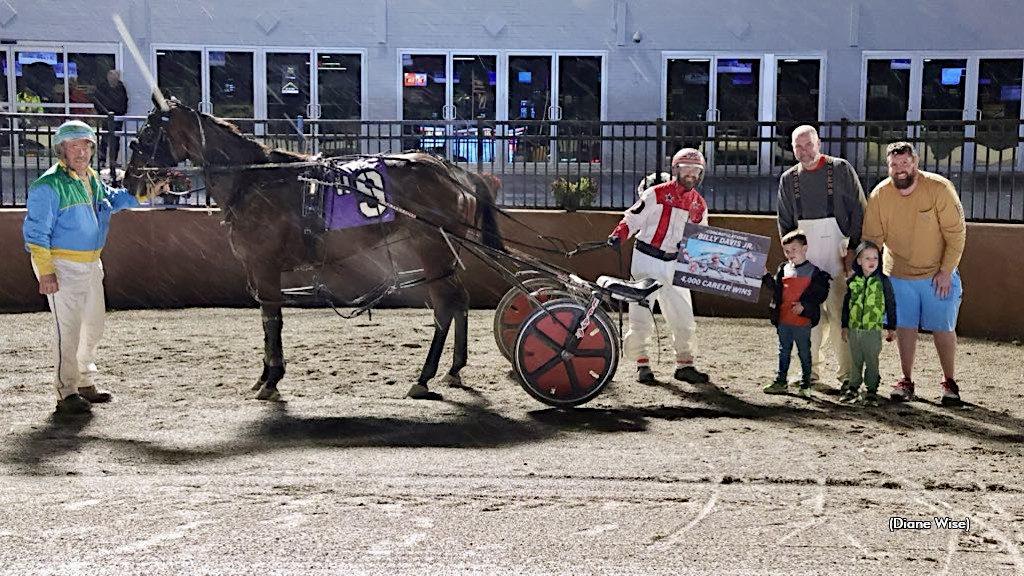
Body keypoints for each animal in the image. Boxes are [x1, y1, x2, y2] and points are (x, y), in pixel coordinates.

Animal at [122, 99, 503, 399]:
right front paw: (264, 376)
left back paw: (424, 377)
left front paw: (271, 380)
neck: (255, 179)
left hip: (432, 248)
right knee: (459, 301)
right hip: (443, 253)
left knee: (445, 306)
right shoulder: (257, 268)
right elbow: (267, 321)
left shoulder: (264, 265)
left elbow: (272, 319)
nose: (129, 181)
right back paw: (453, 369)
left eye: (145, 137)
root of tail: (453, 172)